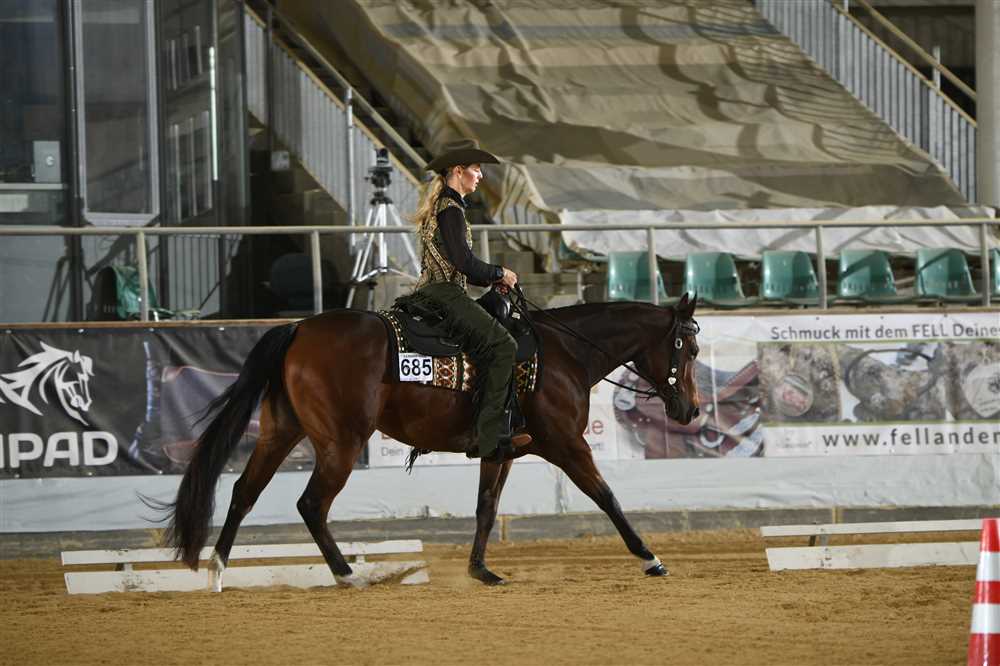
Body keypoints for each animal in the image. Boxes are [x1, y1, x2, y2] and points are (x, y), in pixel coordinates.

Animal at [158, 293, 701, 587]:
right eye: (690, 348)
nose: (692, 410)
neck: (563, 353)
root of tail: (297, 329)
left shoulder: (501, 449)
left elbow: (486, 508)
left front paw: (481, 570)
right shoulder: (568, 445)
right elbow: (606, 497)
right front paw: (651, 558)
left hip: (281, 432)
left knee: (243, 492)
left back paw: (218, 572)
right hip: (341, 442)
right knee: (310, 504)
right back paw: (350, 575)